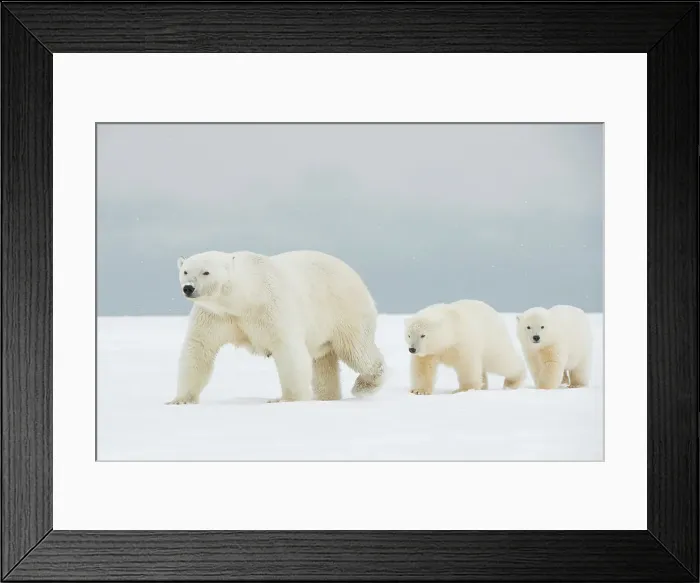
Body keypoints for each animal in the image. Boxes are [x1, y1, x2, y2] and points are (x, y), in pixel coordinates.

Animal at [166, 249, 386, 404]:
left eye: (206, 272)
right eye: (185, 271)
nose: (188, 288)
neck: (243, 299)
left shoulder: (272, 307)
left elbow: (288, 350)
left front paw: (286, 399)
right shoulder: (214, 316)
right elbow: (198, 348)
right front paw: (180, 400)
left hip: (344, 311)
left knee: (356, 349)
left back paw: (365, 385)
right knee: (324, 361)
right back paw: (326, 396)